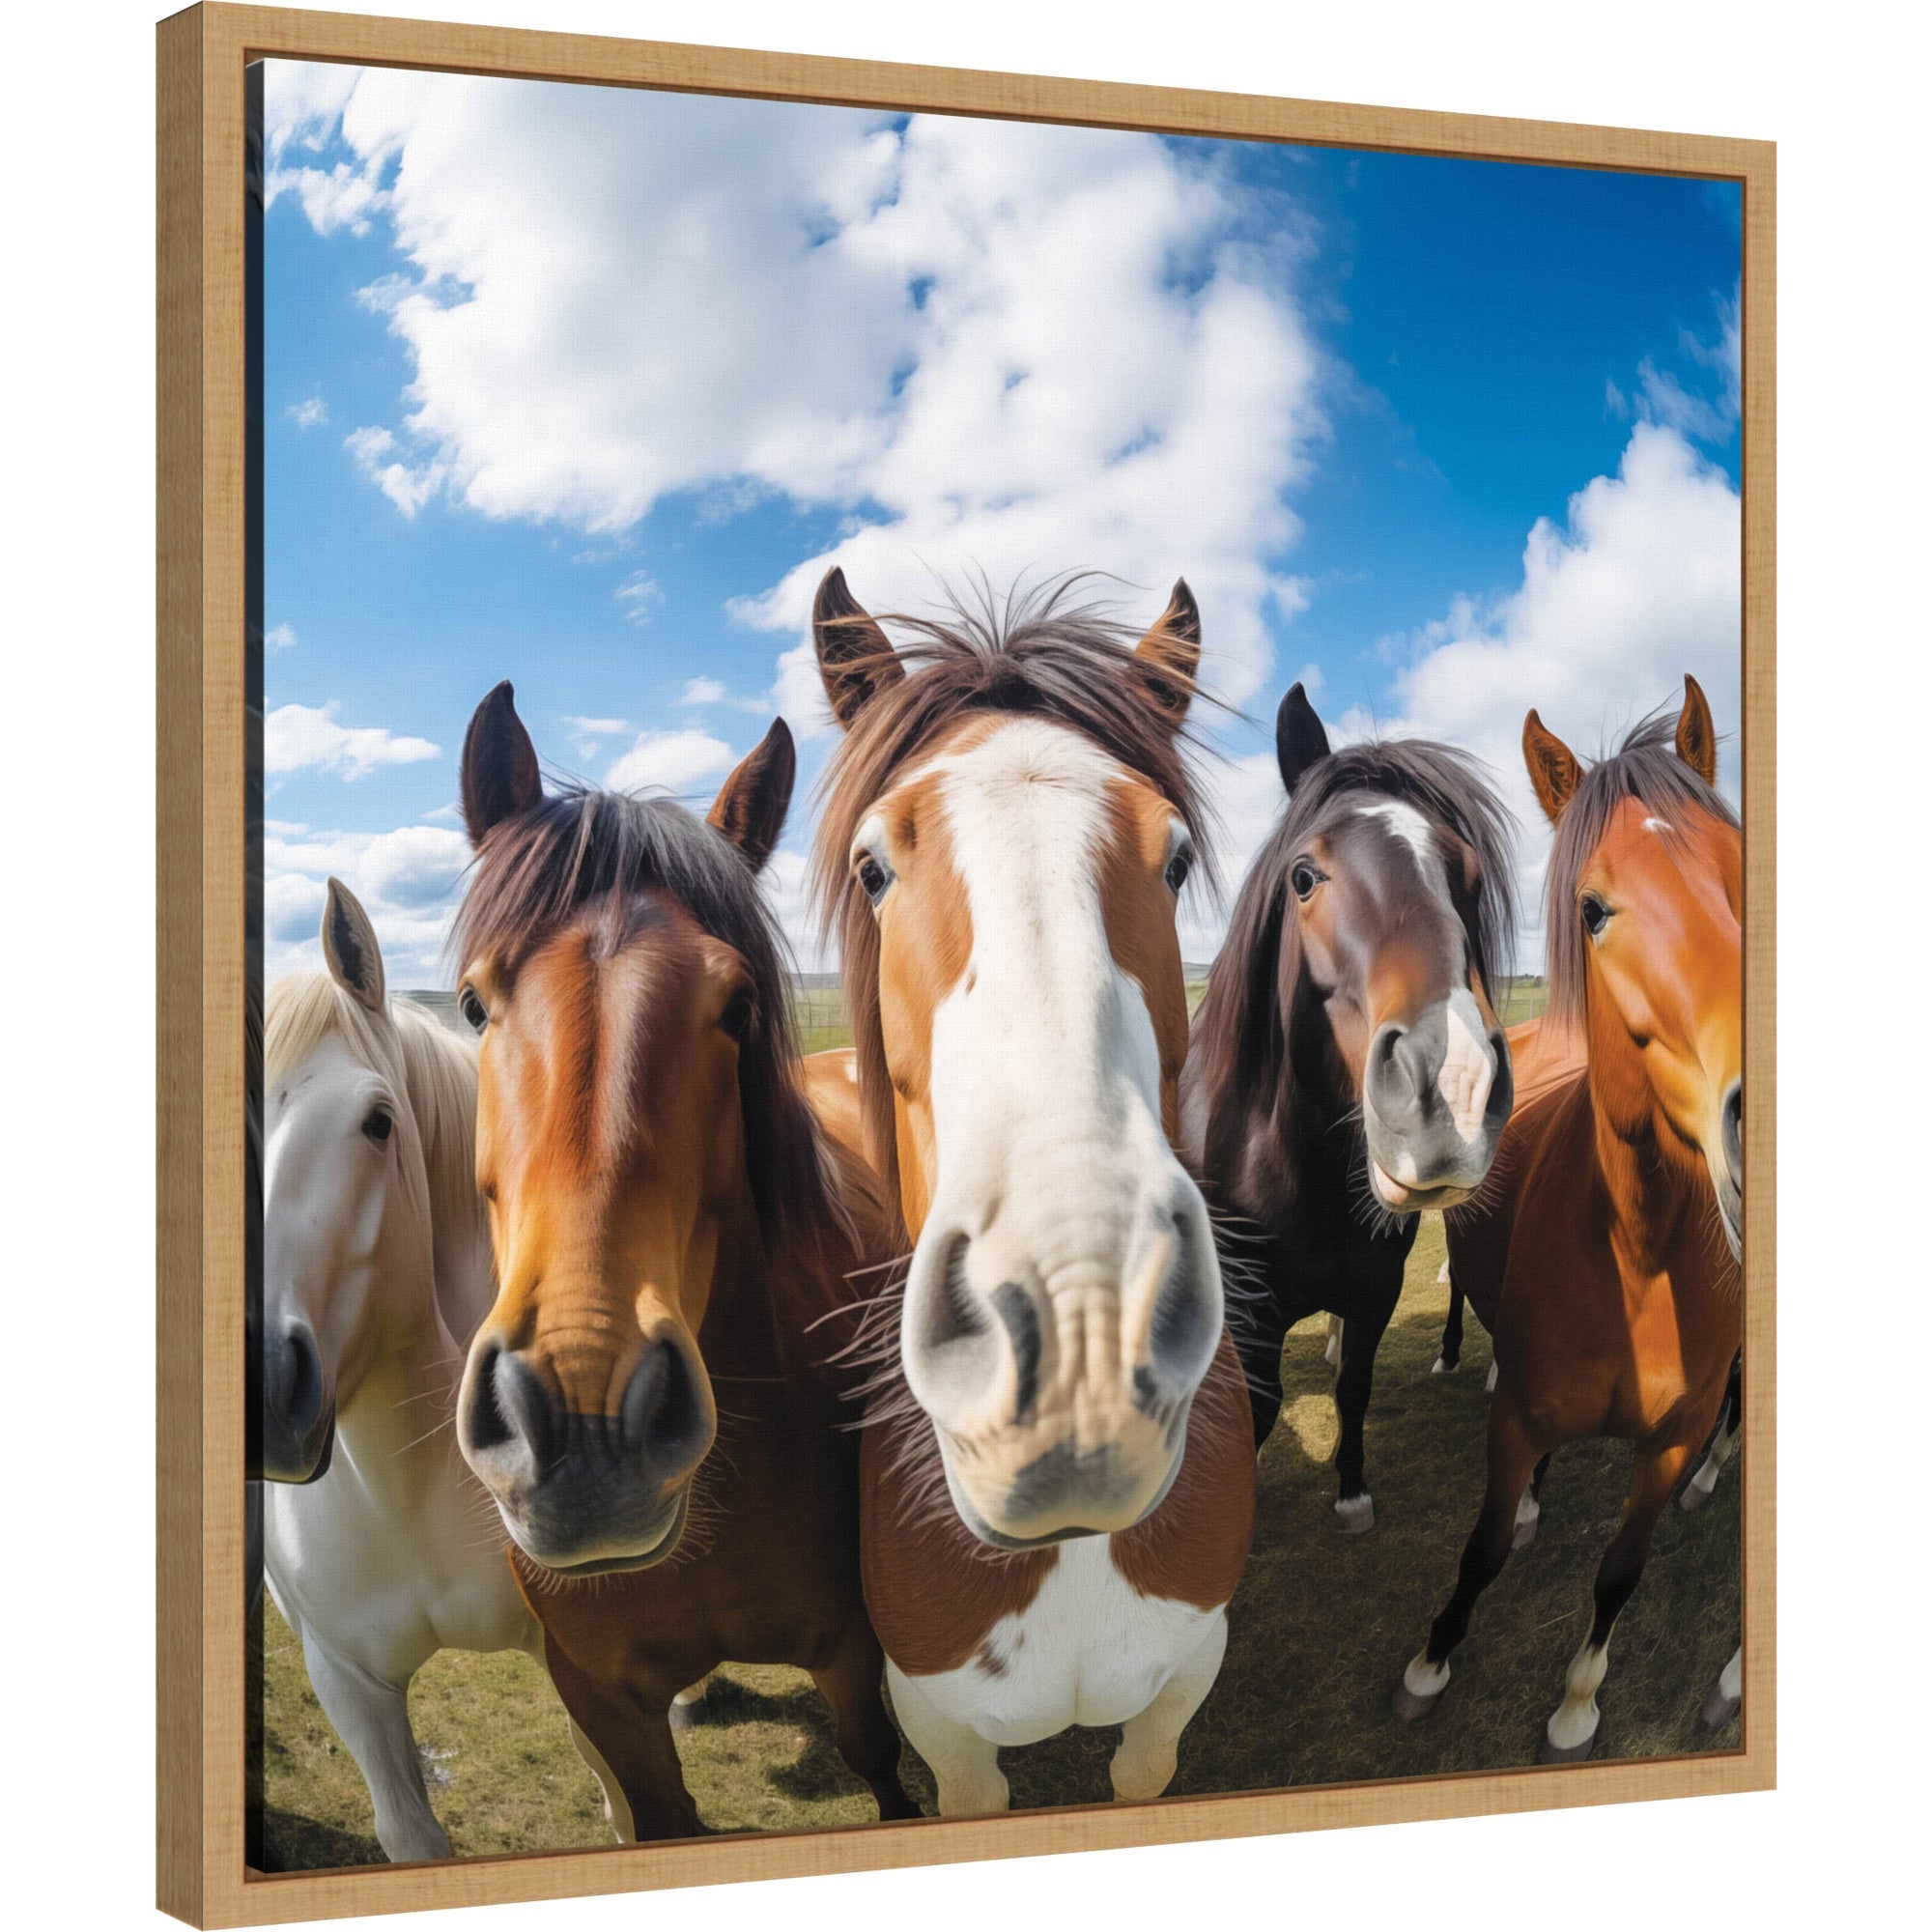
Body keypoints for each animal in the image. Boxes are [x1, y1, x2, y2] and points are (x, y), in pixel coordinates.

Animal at [450, 688, 918, 1840]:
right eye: (475, 1005)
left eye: (737, 1006)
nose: (585, 1431)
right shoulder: (597, 1693)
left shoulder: (852, 1643)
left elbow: (879, 1767)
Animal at [1181, 683, 1519, 1531]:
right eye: (1304, 876)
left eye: (1468, 877)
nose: (1452, 1085)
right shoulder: (1249, 1313)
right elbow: (1260, 1408)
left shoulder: (1375, 1287)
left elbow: (1355, 1385)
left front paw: (1352, 1490)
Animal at [1393, 677, 1743, 1761]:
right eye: (1591, 908)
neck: (1636, 1250)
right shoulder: (1513, 1422)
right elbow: (1479, 1548)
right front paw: (1428, 1664)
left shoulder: (1668, 1442)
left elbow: (1620, 1572)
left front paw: (1578, 1704)